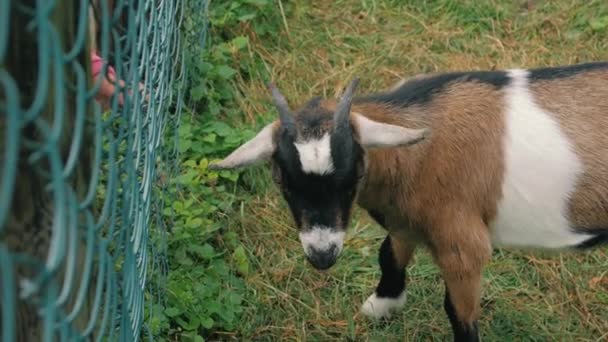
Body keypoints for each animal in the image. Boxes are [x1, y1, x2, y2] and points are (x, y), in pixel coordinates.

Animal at [209, 62, 608, 342]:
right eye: (283, 182)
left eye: (354, 176)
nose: (322, 256)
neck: (417, 153)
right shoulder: (405, 219)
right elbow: (388, 253)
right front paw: (383, 303)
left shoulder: (462, 245)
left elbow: (459, 315)